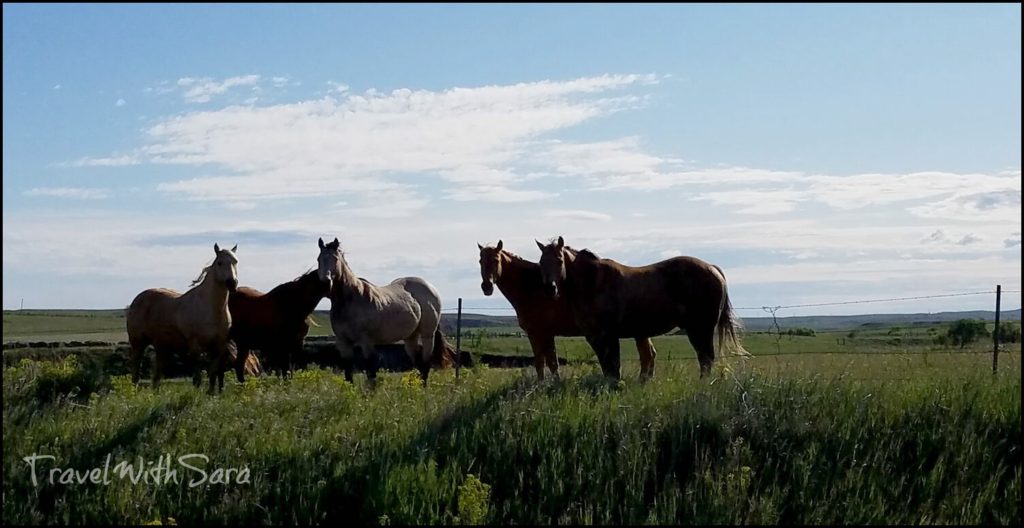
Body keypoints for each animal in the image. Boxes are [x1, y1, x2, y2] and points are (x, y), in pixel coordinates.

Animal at [125, 243, 239, 390]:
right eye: (219, 262)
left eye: (235, 262)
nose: (232, 283)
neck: (211, 309)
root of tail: (136, 300)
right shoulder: (195, 348)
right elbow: (197, 378)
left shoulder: (218, 348)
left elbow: (213, 374)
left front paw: (211, 394)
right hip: (138, 344)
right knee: (136, 372)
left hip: (162, 347)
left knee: (156, 376)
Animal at [313, 238, 454, 382]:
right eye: (319, 259)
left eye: (335, 258)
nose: (325, 282)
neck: (351, 300)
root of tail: (431, 288)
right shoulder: (344, 342)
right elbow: (348, 373)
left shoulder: (366, 341)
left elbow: (370, 372)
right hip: (410, 337)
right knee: (418, 364)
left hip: (427, 335)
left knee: (425, 366)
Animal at [477, 239, 659, 378]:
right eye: (480, 261)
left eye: (496, 260)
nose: (486, 287)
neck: (532, 288)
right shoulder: (545, 334)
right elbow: (550, 363)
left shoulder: (538, 333)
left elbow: (544, 363)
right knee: (648, 355)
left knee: (647, 355)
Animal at [536, 236, 745, 378]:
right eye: (541, 262)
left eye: (559, 260)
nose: (550, 288)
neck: (594, 282)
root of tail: (712, 268)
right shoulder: (594, 337)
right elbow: (607, 368)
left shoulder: (607, 336)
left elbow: (613, 367)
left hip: (700, 328)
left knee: (706, 358)